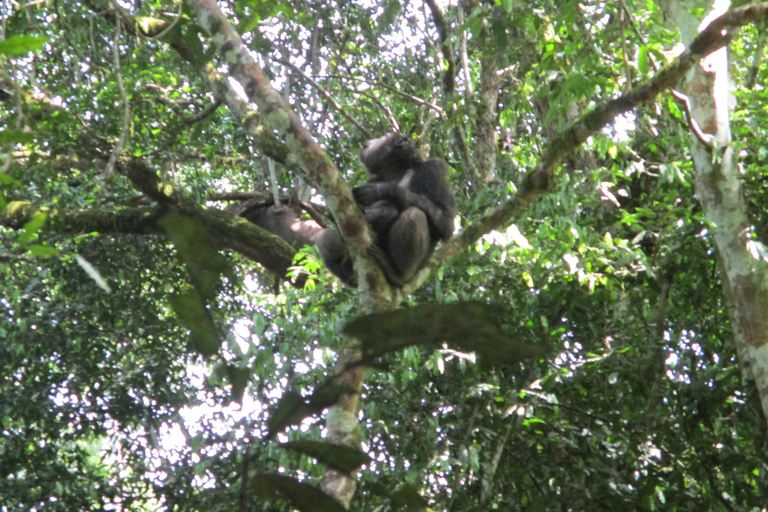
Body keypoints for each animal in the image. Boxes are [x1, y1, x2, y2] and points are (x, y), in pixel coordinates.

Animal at [318, 133, 456, 288]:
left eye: (384, 136)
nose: (370, 140)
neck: (396, 171)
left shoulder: (433, 170)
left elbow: (446, 223)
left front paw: (385, 190)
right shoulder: (374, 179)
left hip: (414, 272)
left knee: (414, 215)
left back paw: (397, 274)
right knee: (324, 240)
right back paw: (351, 277)